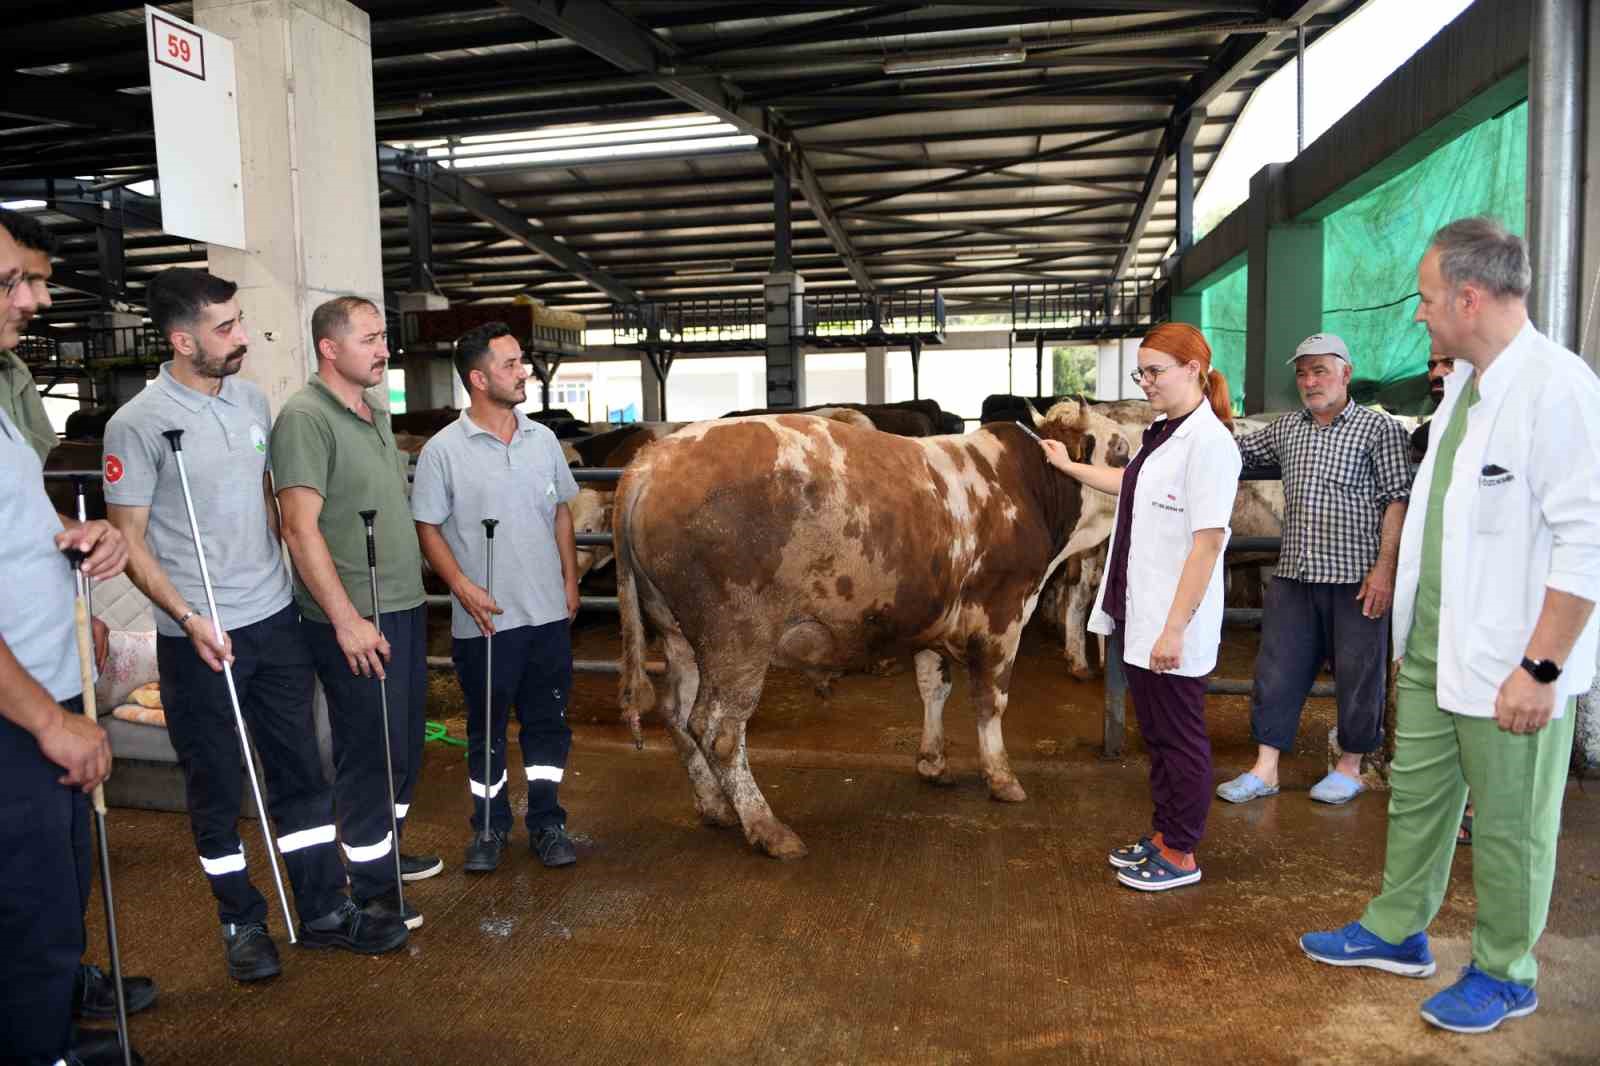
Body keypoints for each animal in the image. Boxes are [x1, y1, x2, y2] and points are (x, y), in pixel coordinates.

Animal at [608, 398, 1126, 857]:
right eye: (1120, 446)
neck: (1022, 486)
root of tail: (653, 461)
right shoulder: (1002, 614)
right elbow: (990, 700)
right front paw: (1001, 777)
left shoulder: (932, 621)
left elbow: (933, 689)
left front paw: (933, 762)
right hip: (737, 639)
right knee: (718, 729)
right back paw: (766, 828)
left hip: (679, 636)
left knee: (678, 717)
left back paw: (716, 807)